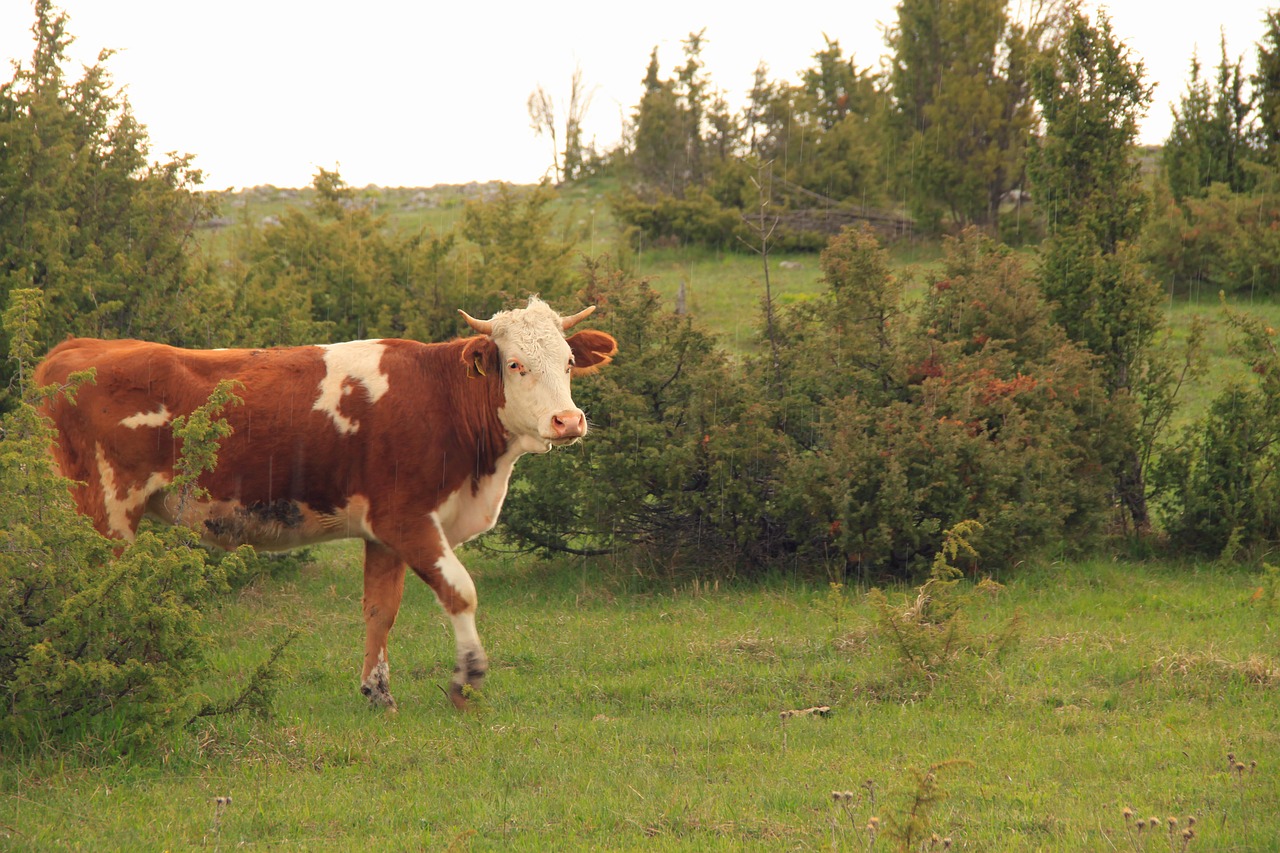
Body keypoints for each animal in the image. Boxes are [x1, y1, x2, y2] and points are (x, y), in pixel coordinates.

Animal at [36, 295, 619, 706]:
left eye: (570, 361)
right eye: (515, 364)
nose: (567, 421)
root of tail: (76, 348)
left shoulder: (383, 531)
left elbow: (381, 609)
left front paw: (378, 692)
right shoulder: (407, 518)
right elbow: (461, 592)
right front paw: (466, 679)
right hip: (108, 507)